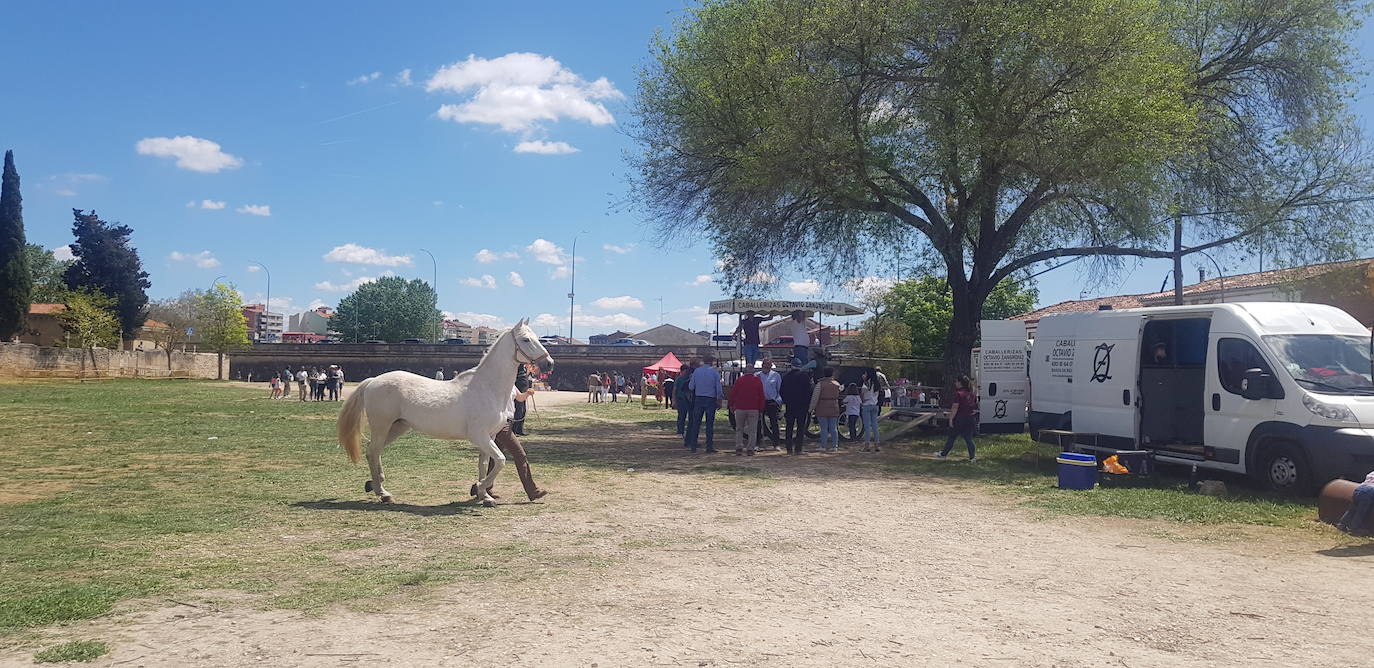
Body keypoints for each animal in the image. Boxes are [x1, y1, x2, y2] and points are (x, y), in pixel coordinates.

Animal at [338, 320, 552, 505]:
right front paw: (479, 488)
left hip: (397, 427)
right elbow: (500, 461)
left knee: (373, 451)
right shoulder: (479, 436)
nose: (549, 363)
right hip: (382, 426)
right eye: (526, 339)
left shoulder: (489, 437)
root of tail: (372, 381)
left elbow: (484, 464)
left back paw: (376, 486)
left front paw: (484, 495)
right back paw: (382, 493)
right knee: (373, 451)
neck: (487, 387)